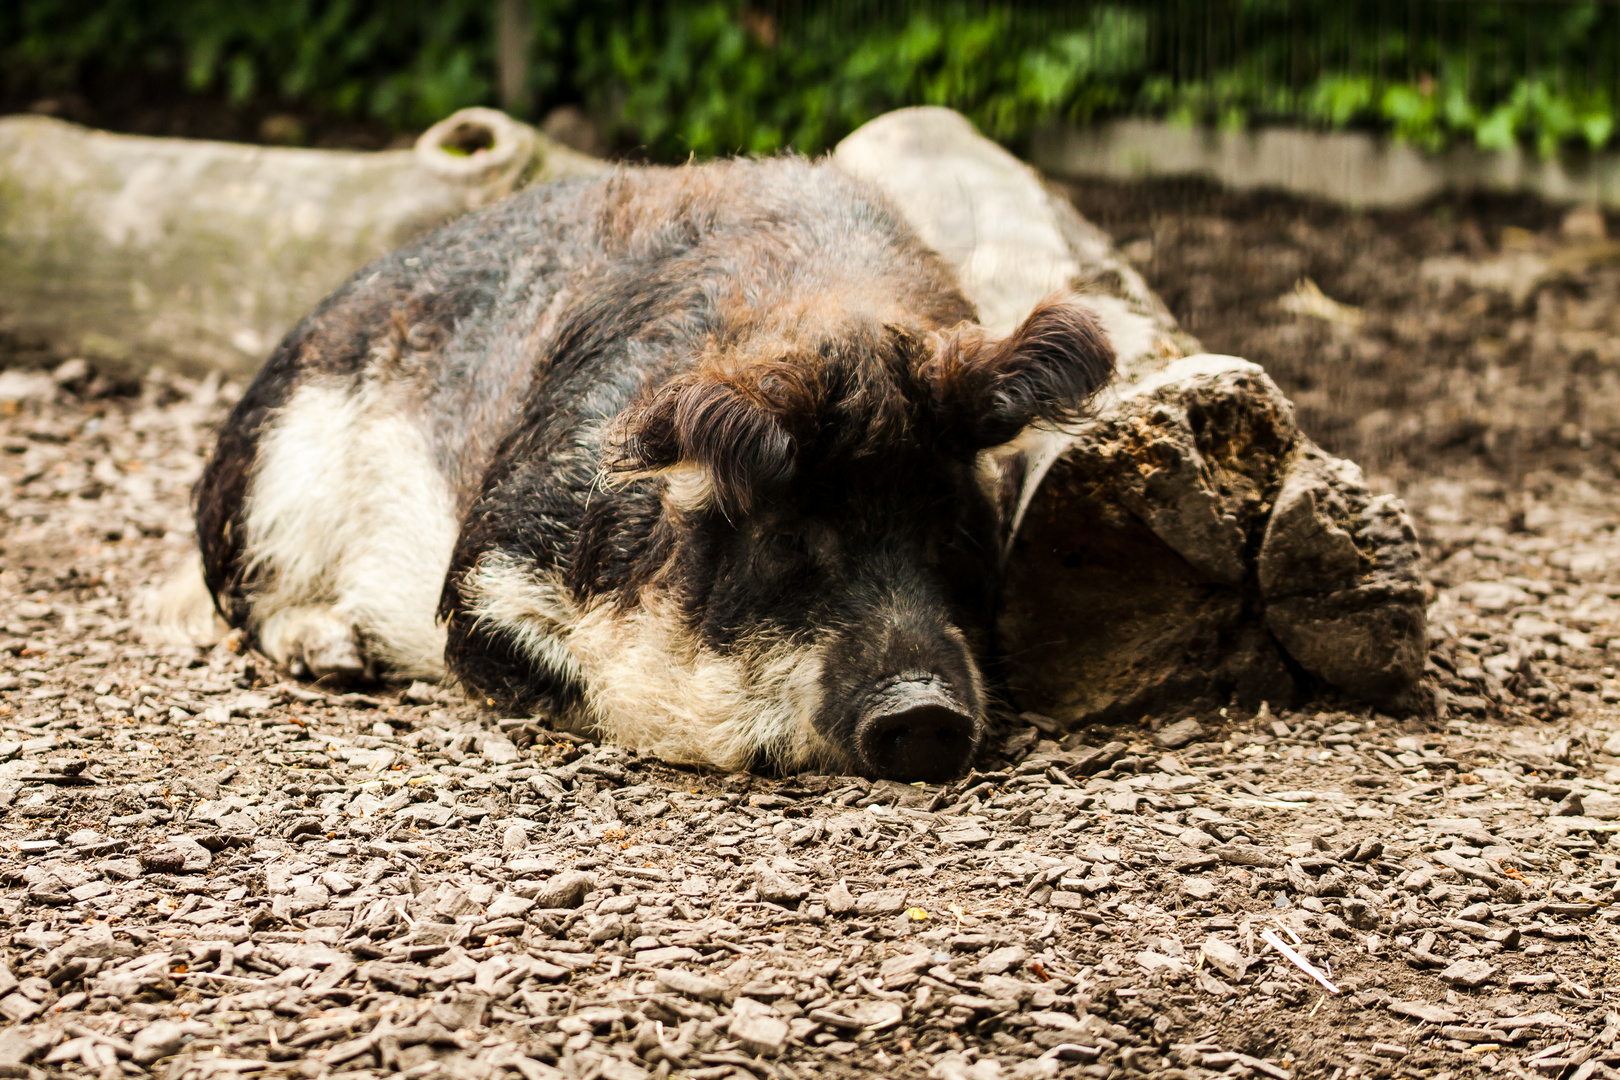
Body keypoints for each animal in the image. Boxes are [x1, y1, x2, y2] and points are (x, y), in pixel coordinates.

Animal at [186, 156, 1114, 780]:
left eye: (950, 529)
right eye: (790, 538)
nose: (921, 710)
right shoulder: (491, 569)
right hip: (265, 471)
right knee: (244, 596)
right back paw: (337, 658)